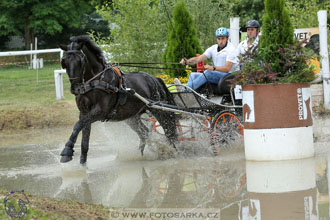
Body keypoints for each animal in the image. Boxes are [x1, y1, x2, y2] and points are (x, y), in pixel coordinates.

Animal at [59, 35, 178, 163]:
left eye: (81, 61)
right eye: (65, 62)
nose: (75, 88)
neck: (95, 82)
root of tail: (154, 79)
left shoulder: (100, 112)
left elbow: (77, 125)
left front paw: (67, 151)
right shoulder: (84, 112)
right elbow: (84, 139)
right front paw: (82, 163)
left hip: (159, 109)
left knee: (169, 130)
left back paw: (174, 151)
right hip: (132, 117)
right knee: (145, 132)